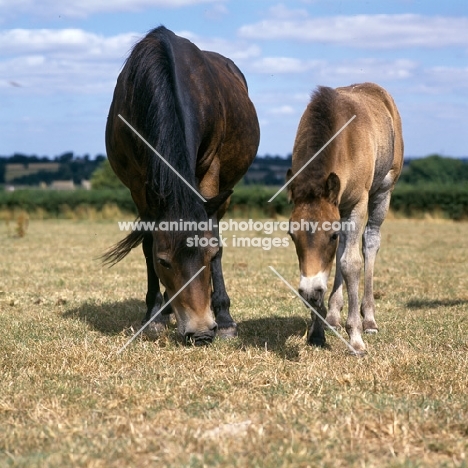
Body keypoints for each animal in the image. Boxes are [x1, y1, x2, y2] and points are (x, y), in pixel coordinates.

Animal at [103, 26, 262, 344]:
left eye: (207, 257)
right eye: (164, 261)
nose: (200, 332)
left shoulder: (210, 172)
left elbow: (215, 239)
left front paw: (224, 320)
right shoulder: (139, 185)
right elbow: (148, 243)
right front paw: (153, 316)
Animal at [288, 83, 404, 354]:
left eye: (329, 235)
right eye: (291, 235)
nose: (309, 291)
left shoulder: (357, 203)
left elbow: (351, 263)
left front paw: (356, 338)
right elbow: (332, 263)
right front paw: (317, 332)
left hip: (383, 191)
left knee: (369, 242)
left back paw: (369, 319)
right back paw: (332, 316)